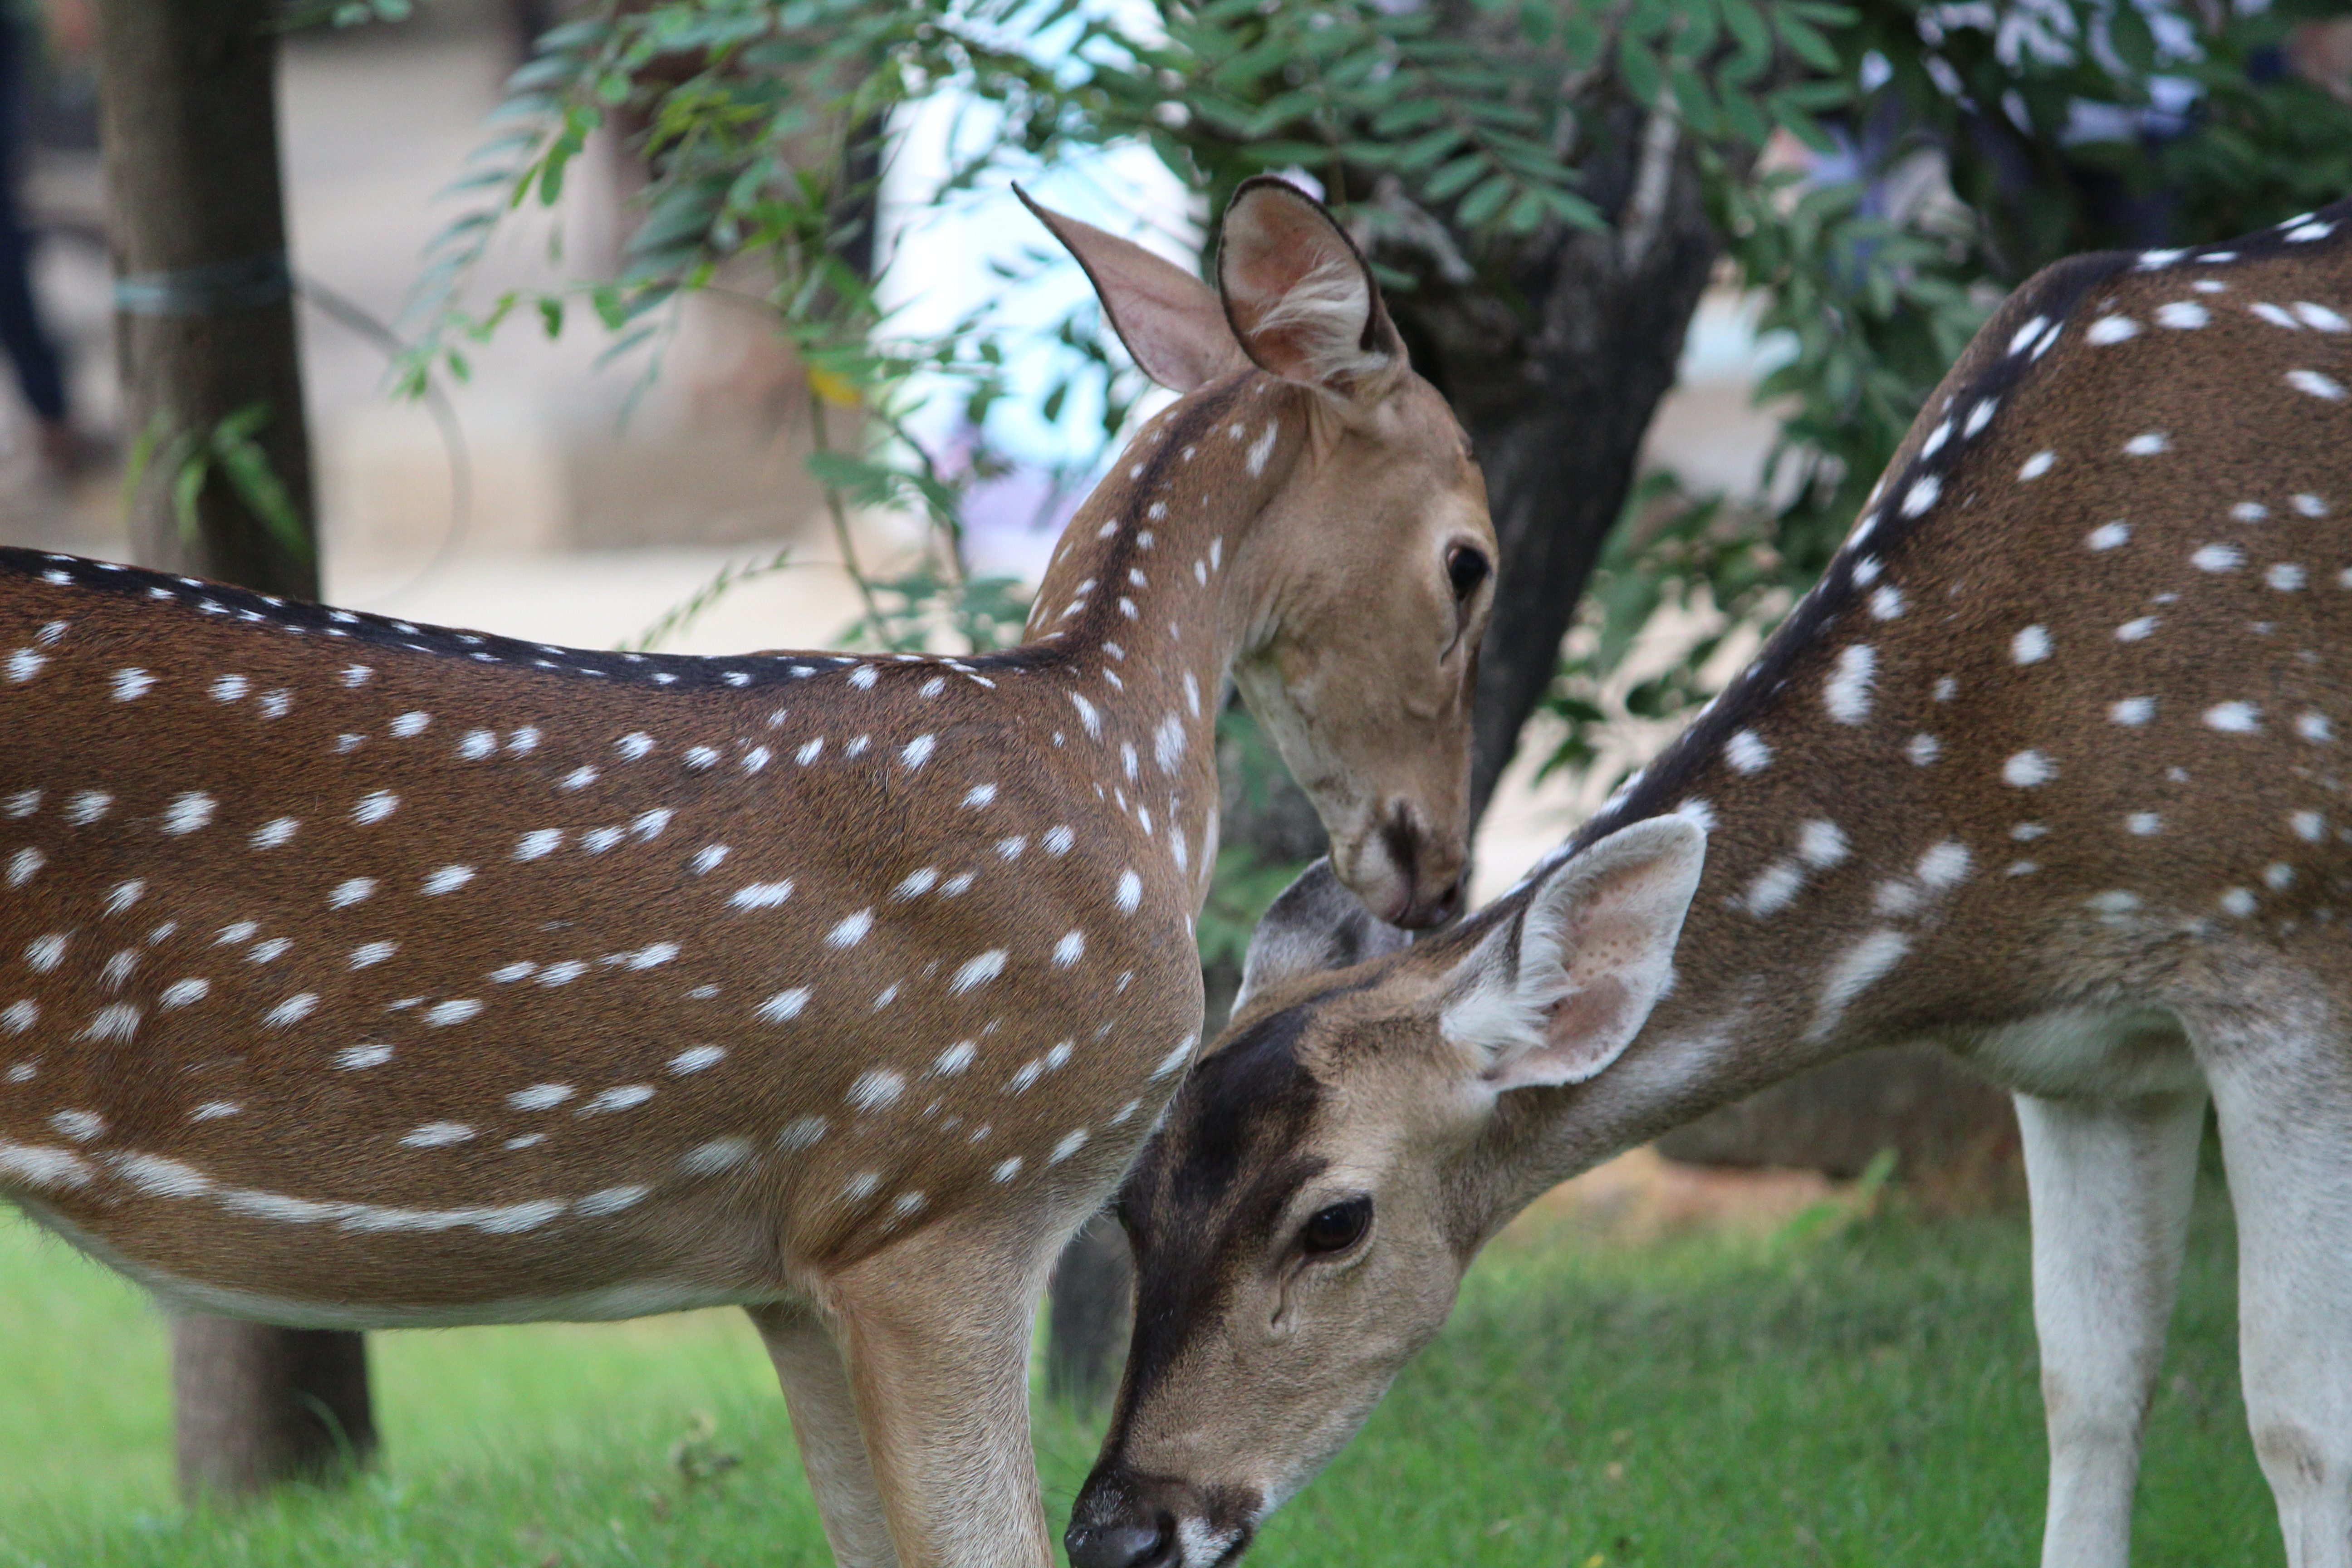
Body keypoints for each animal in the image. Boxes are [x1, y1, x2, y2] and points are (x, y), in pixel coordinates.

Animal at [1068, 196, 2352, 1568]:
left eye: (1334, 1220)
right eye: (1130, 1197)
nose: (1118, 1529)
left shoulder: (2282, 951)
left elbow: (2296, 1421)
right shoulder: (2087, 1057)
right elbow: (2089, 1386)